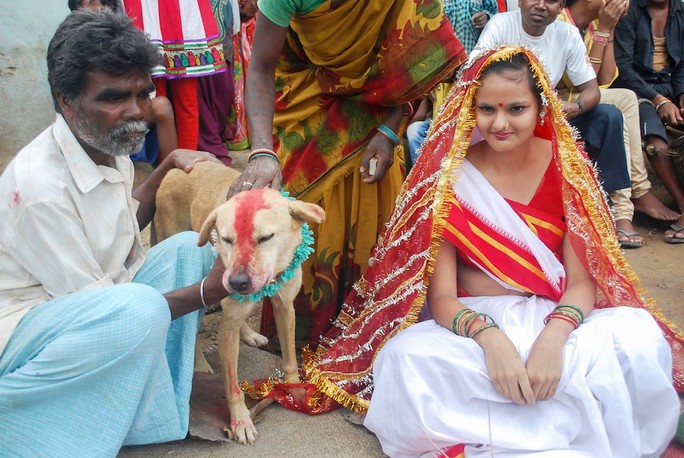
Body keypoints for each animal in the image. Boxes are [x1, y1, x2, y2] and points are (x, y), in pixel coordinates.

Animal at [154, 161, 324, 444]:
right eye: (226, 239)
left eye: (266, 237)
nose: (237, 283)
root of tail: (178, 169)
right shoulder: (228, 325)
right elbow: (232, 385)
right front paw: (241, 421)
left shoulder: (284, 305)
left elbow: (290, 357)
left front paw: (293, 388)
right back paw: (200, 364)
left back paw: (250, 334)